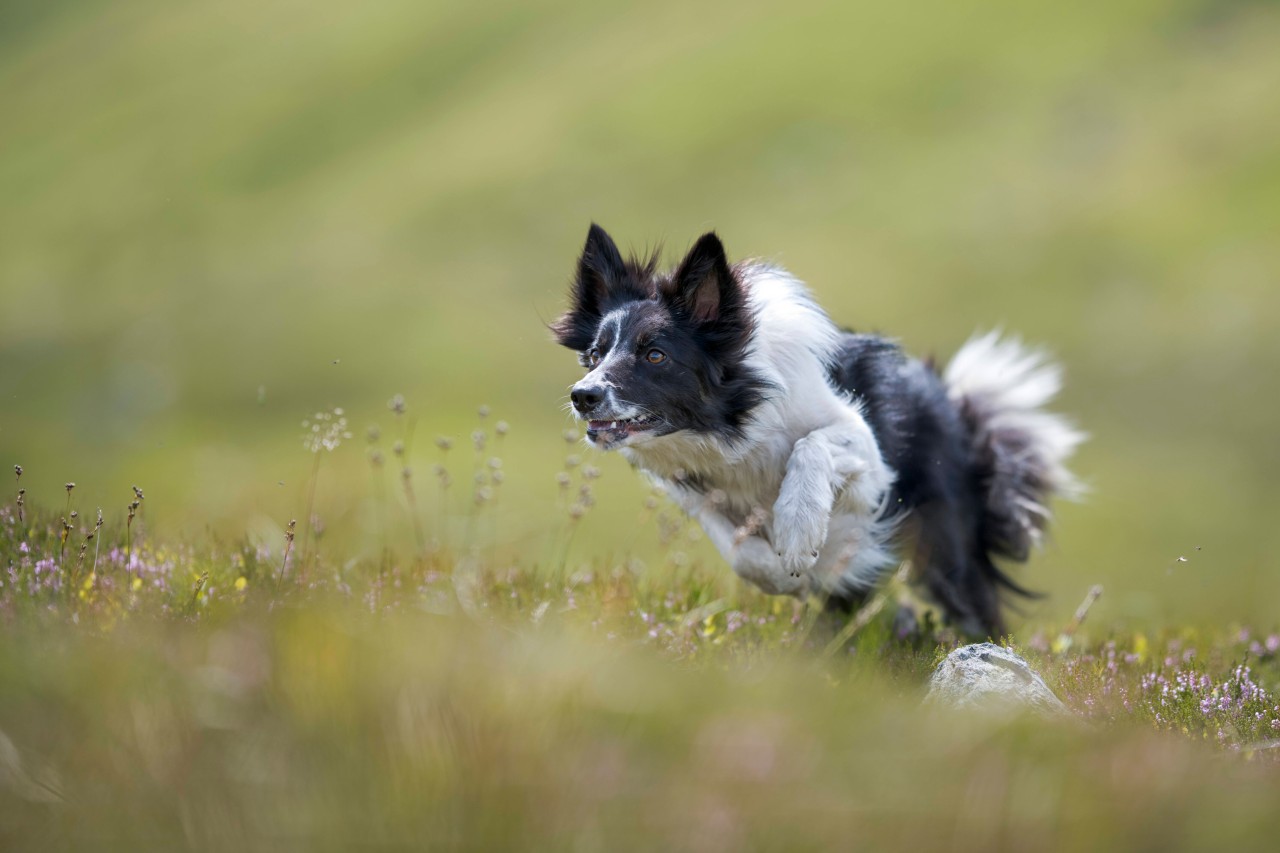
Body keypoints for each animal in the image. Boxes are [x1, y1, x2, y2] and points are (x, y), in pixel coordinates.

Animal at [550, 222, 1080, 635]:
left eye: (656, 355)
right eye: (595, 354)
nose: (582, 396)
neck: (740, 421)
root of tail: (952, 403)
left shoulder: (869, 460)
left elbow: (811, 443)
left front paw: (799, 532)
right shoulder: (701, 493)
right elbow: (739, 550)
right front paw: (787, 573)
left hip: (945, 550)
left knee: (974, 609)